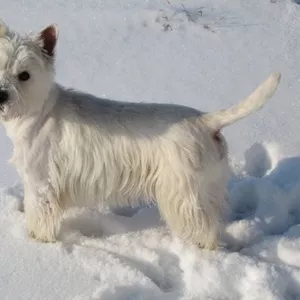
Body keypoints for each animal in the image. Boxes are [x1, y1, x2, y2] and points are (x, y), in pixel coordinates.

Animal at [0, 22, 282, 248]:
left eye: (24, 75)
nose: (2, 94)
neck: (37, 112)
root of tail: (206, 120)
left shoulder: (41, 184)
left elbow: (40, 217)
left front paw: (38, 242)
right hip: (206, 187)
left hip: (184, 191)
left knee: (204, 230)